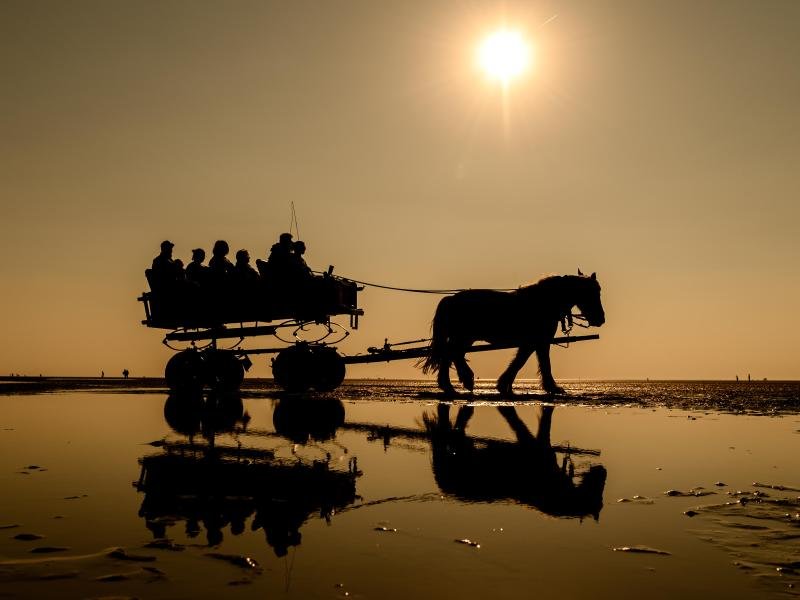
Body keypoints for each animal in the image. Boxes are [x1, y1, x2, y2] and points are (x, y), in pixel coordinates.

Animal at [422, 270, 604, 394]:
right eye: (593, 293)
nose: (601, 319)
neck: (544, 302)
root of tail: (450, 299)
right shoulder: (539, 341)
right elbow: (536, 362)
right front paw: (552, 387)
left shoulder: (534, 342)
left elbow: (524, 361)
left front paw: (505, 384)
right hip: (464, 337)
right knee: (453, 353)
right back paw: (465, 379)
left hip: (463, 338)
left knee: (450, 354)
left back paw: (449, 384)